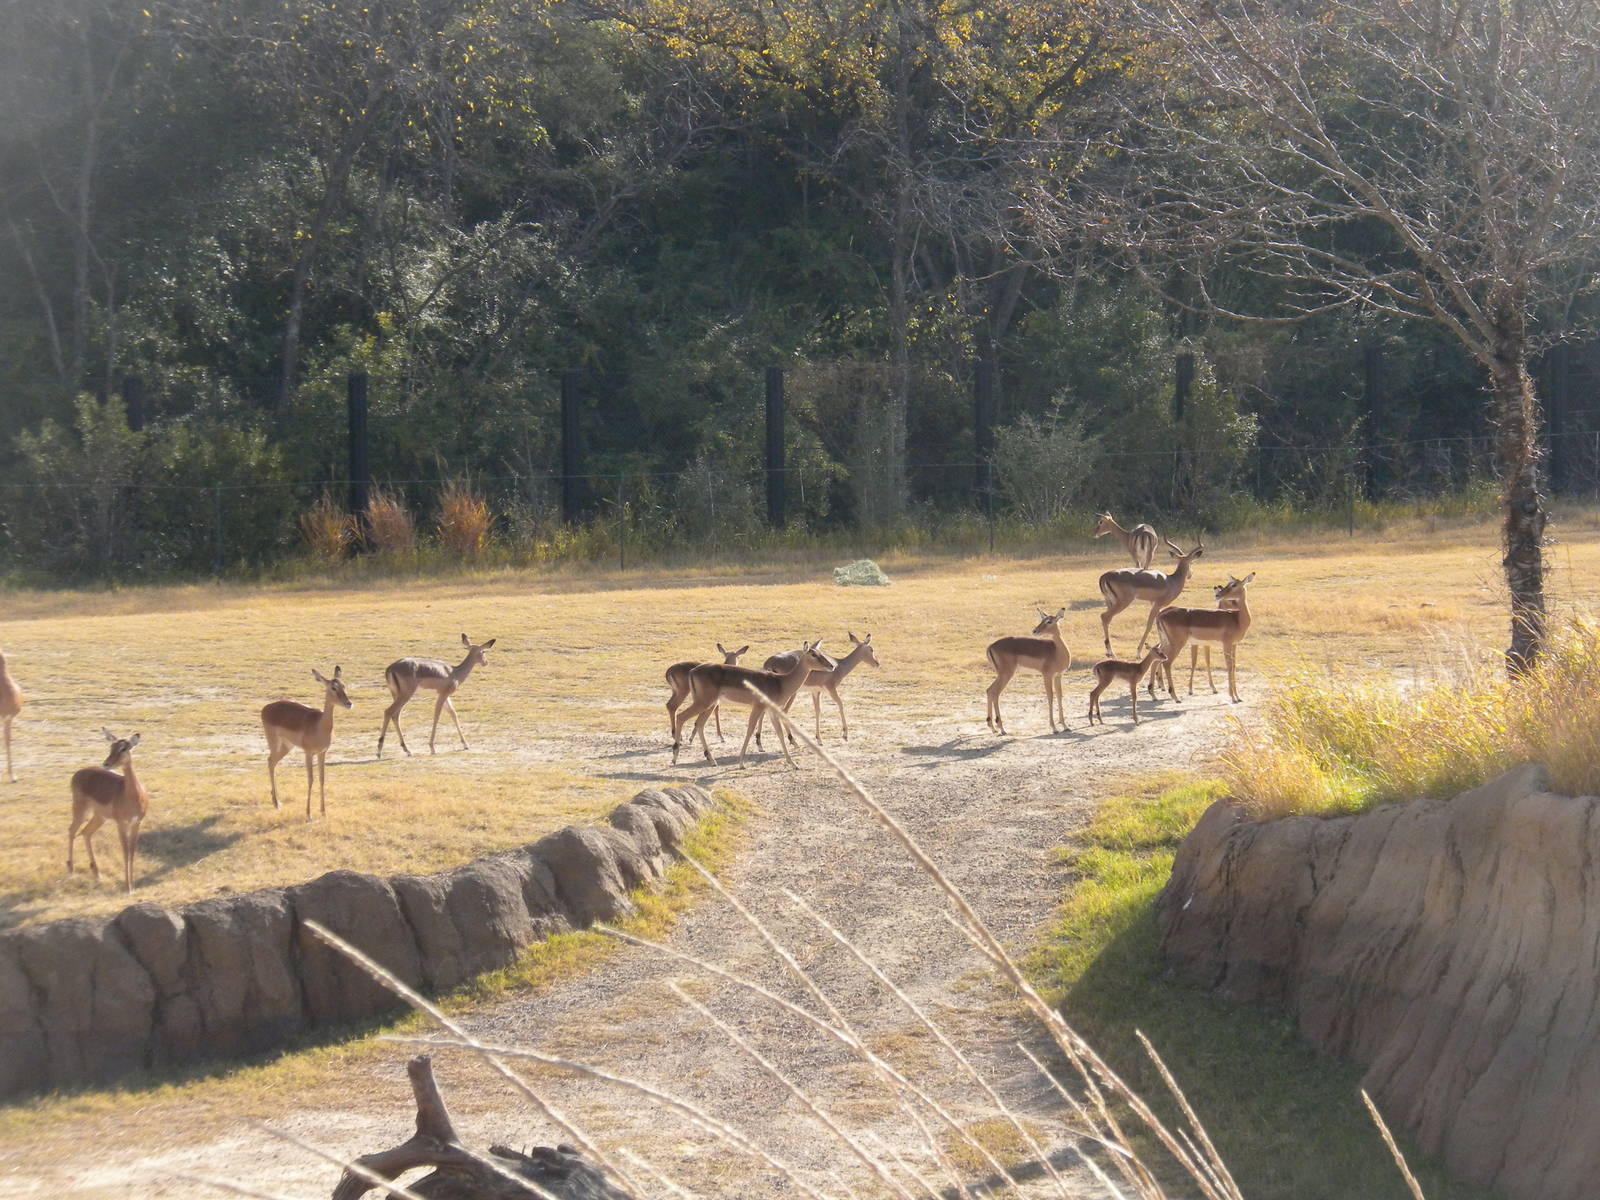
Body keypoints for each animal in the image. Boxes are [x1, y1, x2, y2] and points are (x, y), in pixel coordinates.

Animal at [68, 730, 148, 892]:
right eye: (111, 746)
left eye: (124, 748)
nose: (106, 763)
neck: (133, 797)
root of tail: (77, 773)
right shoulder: (121, 823)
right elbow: (125, 852)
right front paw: (127, 888)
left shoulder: (137, 823)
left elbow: (132, 852)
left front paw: (133, 886)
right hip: (81, 810)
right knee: (72, 831)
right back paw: (71, 870)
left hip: (99, 817)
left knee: (85, 832)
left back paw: (97, 873)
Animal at [262, 666, 352, 819]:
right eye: (333, 687)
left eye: (343, 685)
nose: (349, 703)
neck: (320, 726)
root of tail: (265, 708)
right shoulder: (308, 753)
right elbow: (310, 779)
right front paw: (308, 814)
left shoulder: (322, 752)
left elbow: (322, 779)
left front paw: (323, 812)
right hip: (274, 742)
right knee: (270, 761)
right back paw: (277, 803)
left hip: (286, 746)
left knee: (272, 762)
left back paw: (276, 802)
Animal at [672, 641, 836, 768]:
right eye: (813, 654)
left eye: (820, 652)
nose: (831, 666)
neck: (780, 683)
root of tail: (693, 671)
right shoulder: (758, 707)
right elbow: (750, 730)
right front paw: (741, 763)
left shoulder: (771, 711)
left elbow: (779, 733)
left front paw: (793, 763)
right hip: (703, 703)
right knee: (680, 716)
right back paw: (674, 758)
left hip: (710, 705)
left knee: (699, 724)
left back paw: (711, 760)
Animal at [1149, 573, 1256, 703]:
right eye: (1229, 584)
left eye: (1234, 584)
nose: (1218, 595)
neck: (1237, 619)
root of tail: (1161, 615)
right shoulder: (1226, 644)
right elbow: (1229, 666)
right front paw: (1232, 697)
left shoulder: (1234, 645)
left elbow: (1234, 666)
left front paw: (1238, 697)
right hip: (1177, 644)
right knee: (1167, 663)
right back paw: (1175, 697)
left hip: (1166, 642)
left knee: (1155, 660)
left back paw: (1153, 694)